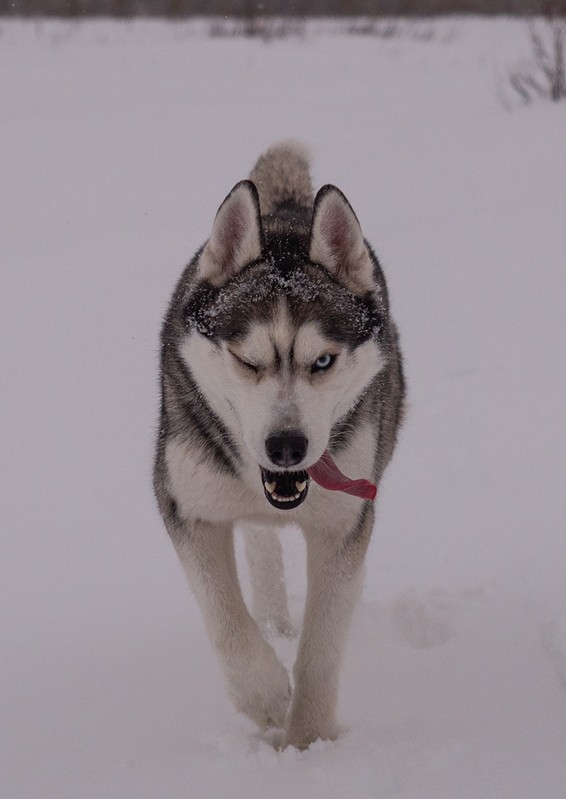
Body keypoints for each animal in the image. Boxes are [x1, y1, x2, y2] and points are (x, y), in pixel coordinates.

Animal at [153, 144, 406, 752]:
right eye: (248, 361)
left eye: (324, 361)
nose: (287, 445)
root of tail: (288, 209)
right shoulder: (186, 505)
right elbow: (223, 617)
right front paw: (265, 696)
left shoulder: (343, 522)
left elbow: (322, 647)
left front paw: (308, 744)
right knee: (261, 546)